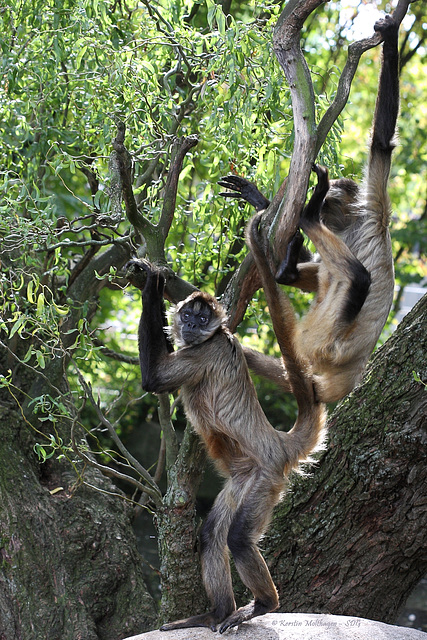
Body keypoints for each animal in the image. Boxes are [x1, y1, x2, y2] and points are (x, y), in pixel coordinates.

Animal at [125, 258, 326, 632]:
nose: (191, 324)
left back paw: (264, 604)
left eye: (203, 319)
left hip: (265, 480)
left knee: (238, 539)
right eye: (189, 315)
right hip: (242, 481)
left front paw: (153, 283)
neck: (215, 338)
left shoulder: (206, 350)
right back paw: (217, 611)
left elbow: (155, 380)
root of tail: (277, 441)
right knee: (211, 535)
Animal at [221, 16, 402, 404]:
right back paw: (287, 268)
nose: (324, 203)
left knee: (357, 277)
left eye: (334, 199)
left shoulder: (375, 212)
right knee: (322, 273)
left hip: (325, 337)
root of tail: (350, 375)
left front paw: (392, 37)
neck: (350, 223)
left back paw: (303, 224)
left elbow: (381, 143)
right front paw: (259, 199)